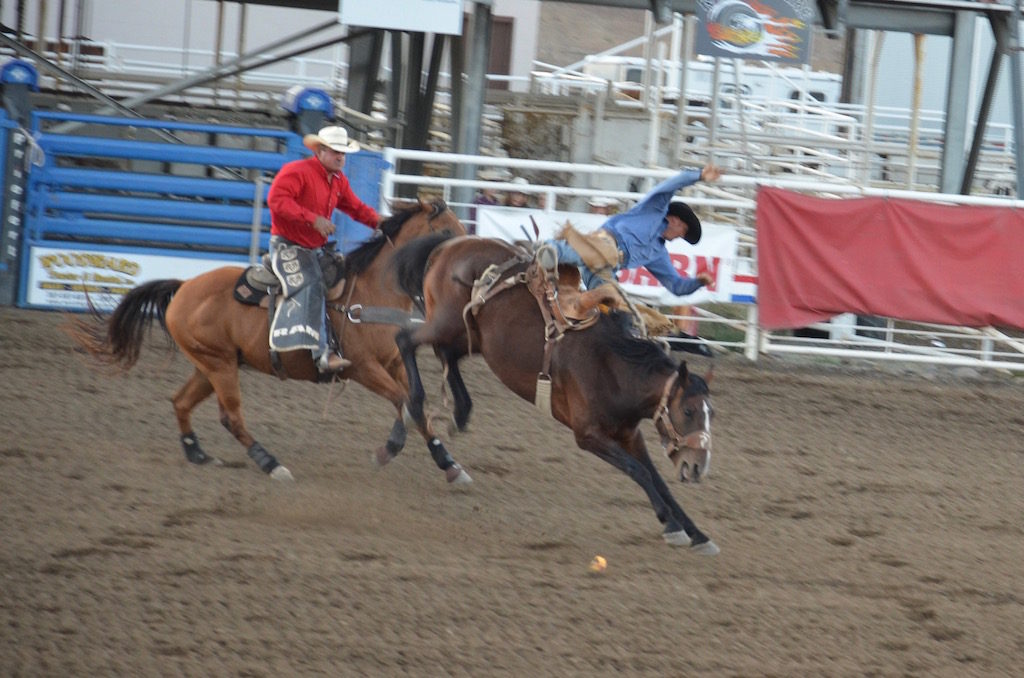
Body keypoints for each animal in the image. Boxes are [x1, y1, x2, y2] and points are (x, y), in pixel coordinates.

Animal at [70, 200, 468, 483]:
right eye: (448, 229)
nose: (460, 267)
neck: (371, 291)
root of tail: (183, 288)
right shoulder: (362, 368)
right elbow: (405, 402)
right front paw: (391, 449)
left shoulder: (393, 362)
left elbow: (415, 403)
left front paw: (449, 464)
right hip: (220, 366)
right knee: (232, 417)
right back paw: (271, 464)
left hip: (210, 364)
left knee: (181, 402)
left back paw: (198, 454)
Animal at [391, 232, 720, 553]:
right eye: (688, 410)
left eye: (711, 413)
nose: (698, 467)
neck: (612, 367)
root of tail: (450, 244)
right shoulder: (588, 435)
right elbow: (638, 470)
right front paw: (672, 525)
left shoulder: (630, 435)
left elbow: (656, 478)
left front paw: (698, 534)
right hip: (445, 323)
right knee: (406, 340)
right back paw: (423, 423)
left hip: (468, 334)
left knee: (445, 354)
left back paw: (456, 415)